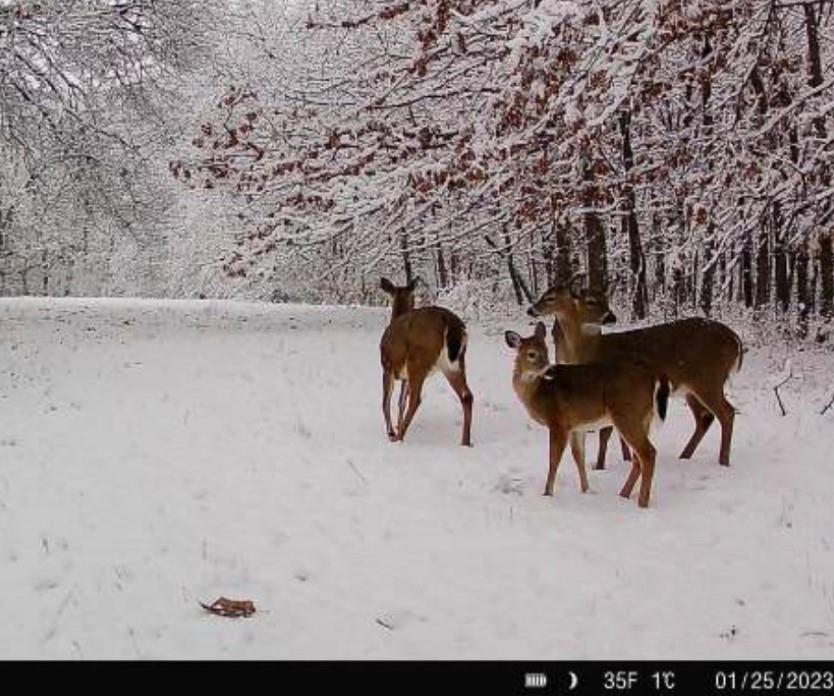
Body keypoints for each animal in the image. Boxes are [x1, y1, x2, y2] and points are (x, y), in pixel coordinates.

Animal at [379, 276, 473, 446]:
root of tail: (449, 320)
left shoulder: (387, 365)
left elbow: (386, 402)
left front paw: (391, 432)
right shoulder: (404, 377)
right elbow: (400, 402)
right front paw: (397, 425)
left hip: (418, 359)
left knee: (416, 399)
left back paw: (399, 437)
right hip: (455, 363)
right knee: (467, 396)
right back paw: (465, 442)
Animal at [505, 322, 670, 508]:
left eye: (546, 351)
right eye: (532, 354)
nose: (548, 370)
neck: (538, 391)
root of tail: (653, 375)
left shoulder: (557, 421)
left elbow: (553, 459)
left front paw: (547, 493)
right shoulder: (575, 426)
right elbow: (579, 457)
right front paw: (586, 490)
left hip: (627, 413)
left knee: (648, 453)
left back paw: (642, 503)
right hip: (643, 417)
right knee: (638, 458)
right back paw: (623, 495)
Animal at [528, 277, 743, 467]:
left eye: (550, 297)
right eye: (590, 300)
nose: (531, 309)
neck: (595, 349)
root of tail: (736, 340)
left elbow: (606, 433)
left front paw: (601, 465)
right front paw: (626, 459)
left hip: (709, 378)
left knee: (727, 412)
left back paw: (723, 461)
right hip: (689, 387)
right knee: (705, 417)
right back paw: (684, 456)